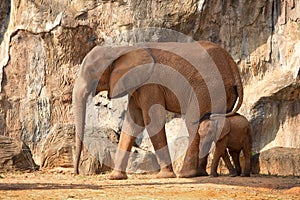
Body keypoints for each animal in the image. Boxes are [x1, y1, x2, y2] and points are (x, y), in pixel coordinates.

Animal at [72, 41, 244, 180]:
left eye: (91, 71)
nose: (76, 172)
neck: (121, 49)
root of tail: (233, 66)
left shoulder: (150, 85)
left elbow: (153, 121)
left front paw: (165, 176)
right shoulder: (137, 86)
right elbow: (133, 123)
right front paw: (115, 177)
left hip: (208, 87)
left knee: (193, 123)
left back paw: (185, 175)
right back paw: (201, 174)